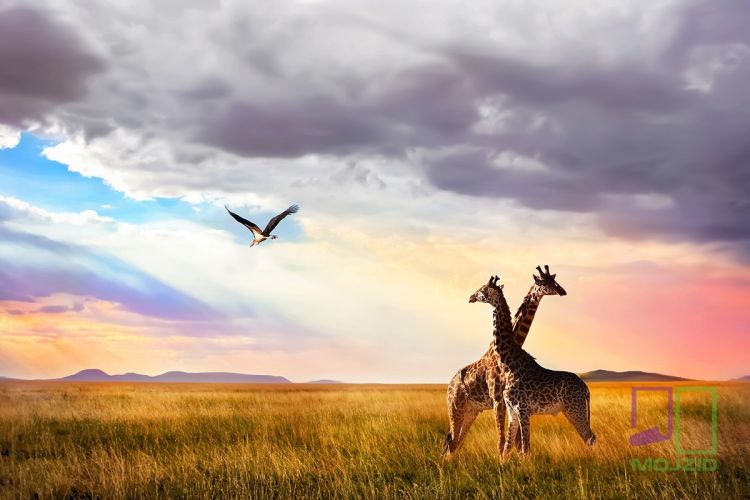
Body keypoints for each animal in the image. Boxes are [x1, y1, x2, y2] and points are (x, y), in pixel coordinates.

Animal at [444, 266, 568, 458]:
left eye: (554, 281)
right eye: (544, 283)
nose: (562, 291)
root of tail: (450, 384)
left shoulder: (508, 402)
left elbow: (514, 441)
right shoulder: (498, 400)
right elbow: (503, 440)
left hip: (471, 410)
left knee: (455, 441)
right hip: (455, 407)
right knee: (451, 441)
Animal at [470, 276, 600, 456]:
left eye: (483, 290)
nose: (471, 297)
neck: (508, 362)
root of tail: (586, 389)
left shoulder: (522, 409)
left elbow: (525, 449)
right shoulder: (512, 411)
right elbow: (507, 448)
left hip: (575, 409)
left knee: (590, 438)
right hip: (571, 410)